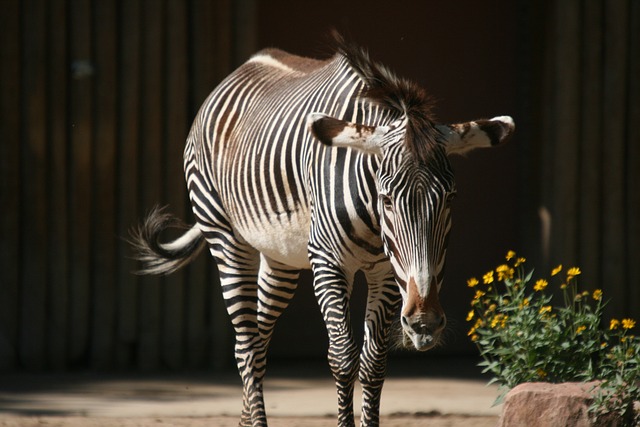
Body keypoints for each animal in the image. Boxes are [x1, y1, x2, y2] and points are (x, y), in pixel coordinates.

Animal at [131, 34, 516, 427]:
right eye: (386, 198)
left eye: (451, 197)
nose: (424, 324)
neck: (374, 220)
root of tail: (244, 67)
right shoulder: (329, 262)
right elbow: (342, 357)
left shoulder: (386, 272)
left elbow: (373, 362)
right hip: (225, 238)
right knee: (246, 346)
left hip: (280, 260)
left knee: (259, 339)